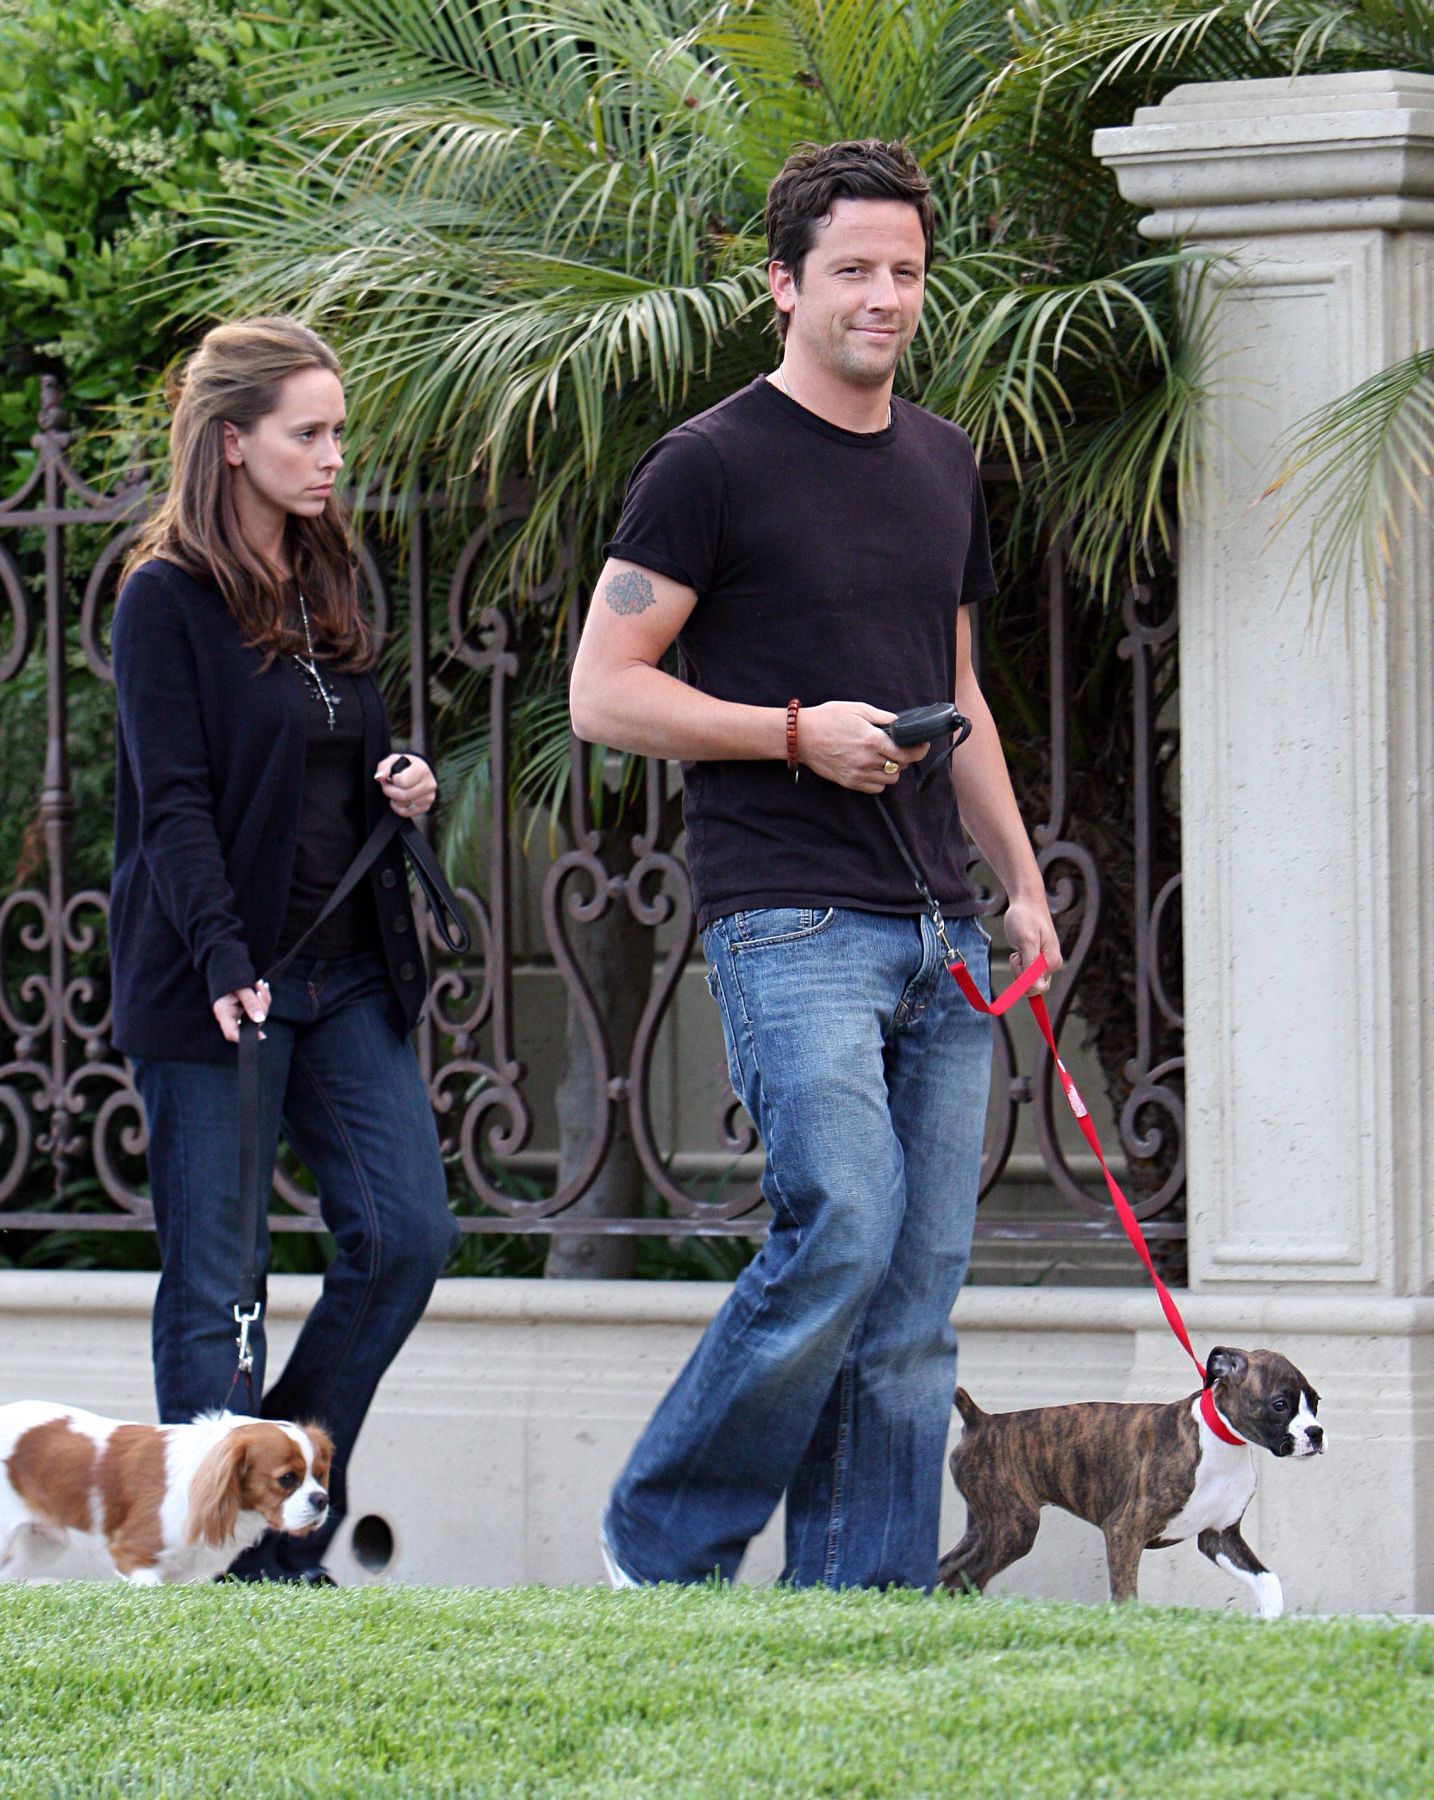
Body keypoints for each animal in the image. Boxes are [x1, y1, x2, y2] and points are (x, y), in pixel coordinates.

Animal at [937, 1347, 1323, 1618]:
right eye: (1280, 1404)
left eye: (1316, 1402)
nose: (1316, 1433)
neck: (1220, 1440)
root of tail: (982, 1421)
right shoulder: (1124, 1531)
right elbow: (1125, 1595)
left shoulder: (1219, 1538)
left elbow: (1267, 1579)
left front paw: (1270, 1620)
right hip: (1013, 1527)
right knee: (962, 1573)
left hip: (988, 1525)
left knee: (950, 1569)